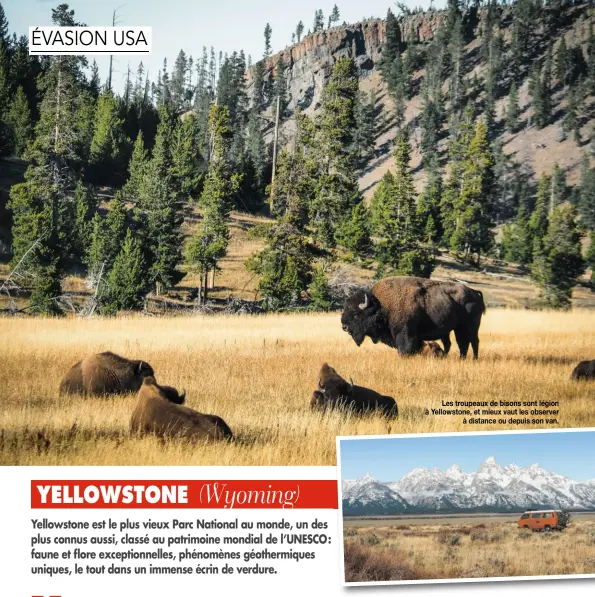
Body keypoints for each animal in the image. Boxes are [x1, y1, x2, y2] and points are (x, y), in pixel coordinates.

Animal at [342, 274, 486, 358]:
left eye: (356, 315)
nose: (344, 326)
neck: (381, 305)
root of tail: (474, 292)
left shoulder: (405, 333)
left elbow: (405, 348)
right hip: (455, 329)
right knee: (458, 343)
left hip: (470, 327)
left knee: (472, 342)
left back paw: (473, 359)